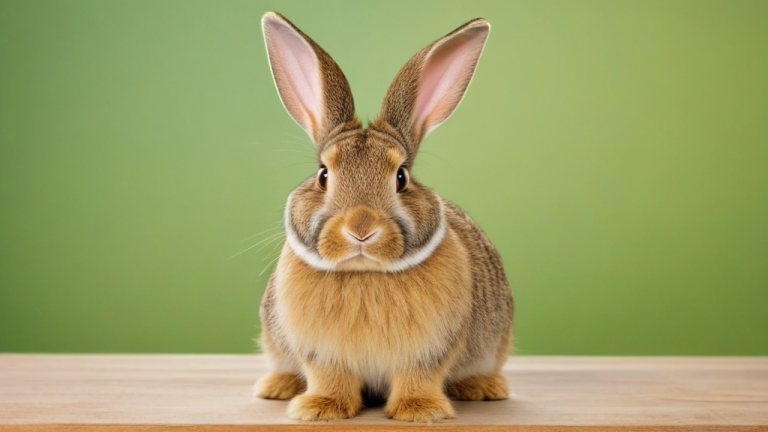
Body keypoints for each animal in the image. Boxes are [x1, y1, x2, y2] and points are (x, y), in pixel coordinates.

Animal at [254, 11, 513, 423]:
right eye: (323, 175)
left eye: (401, 177)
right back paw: (277, 387)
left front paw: (420, 411)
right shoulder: (321, 354)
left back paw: (484, 388)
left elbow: (418, 378)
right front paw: (319, 409)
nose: (361, 229)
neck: (365, 273)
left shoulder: (430, 351)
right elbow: (330, 378)